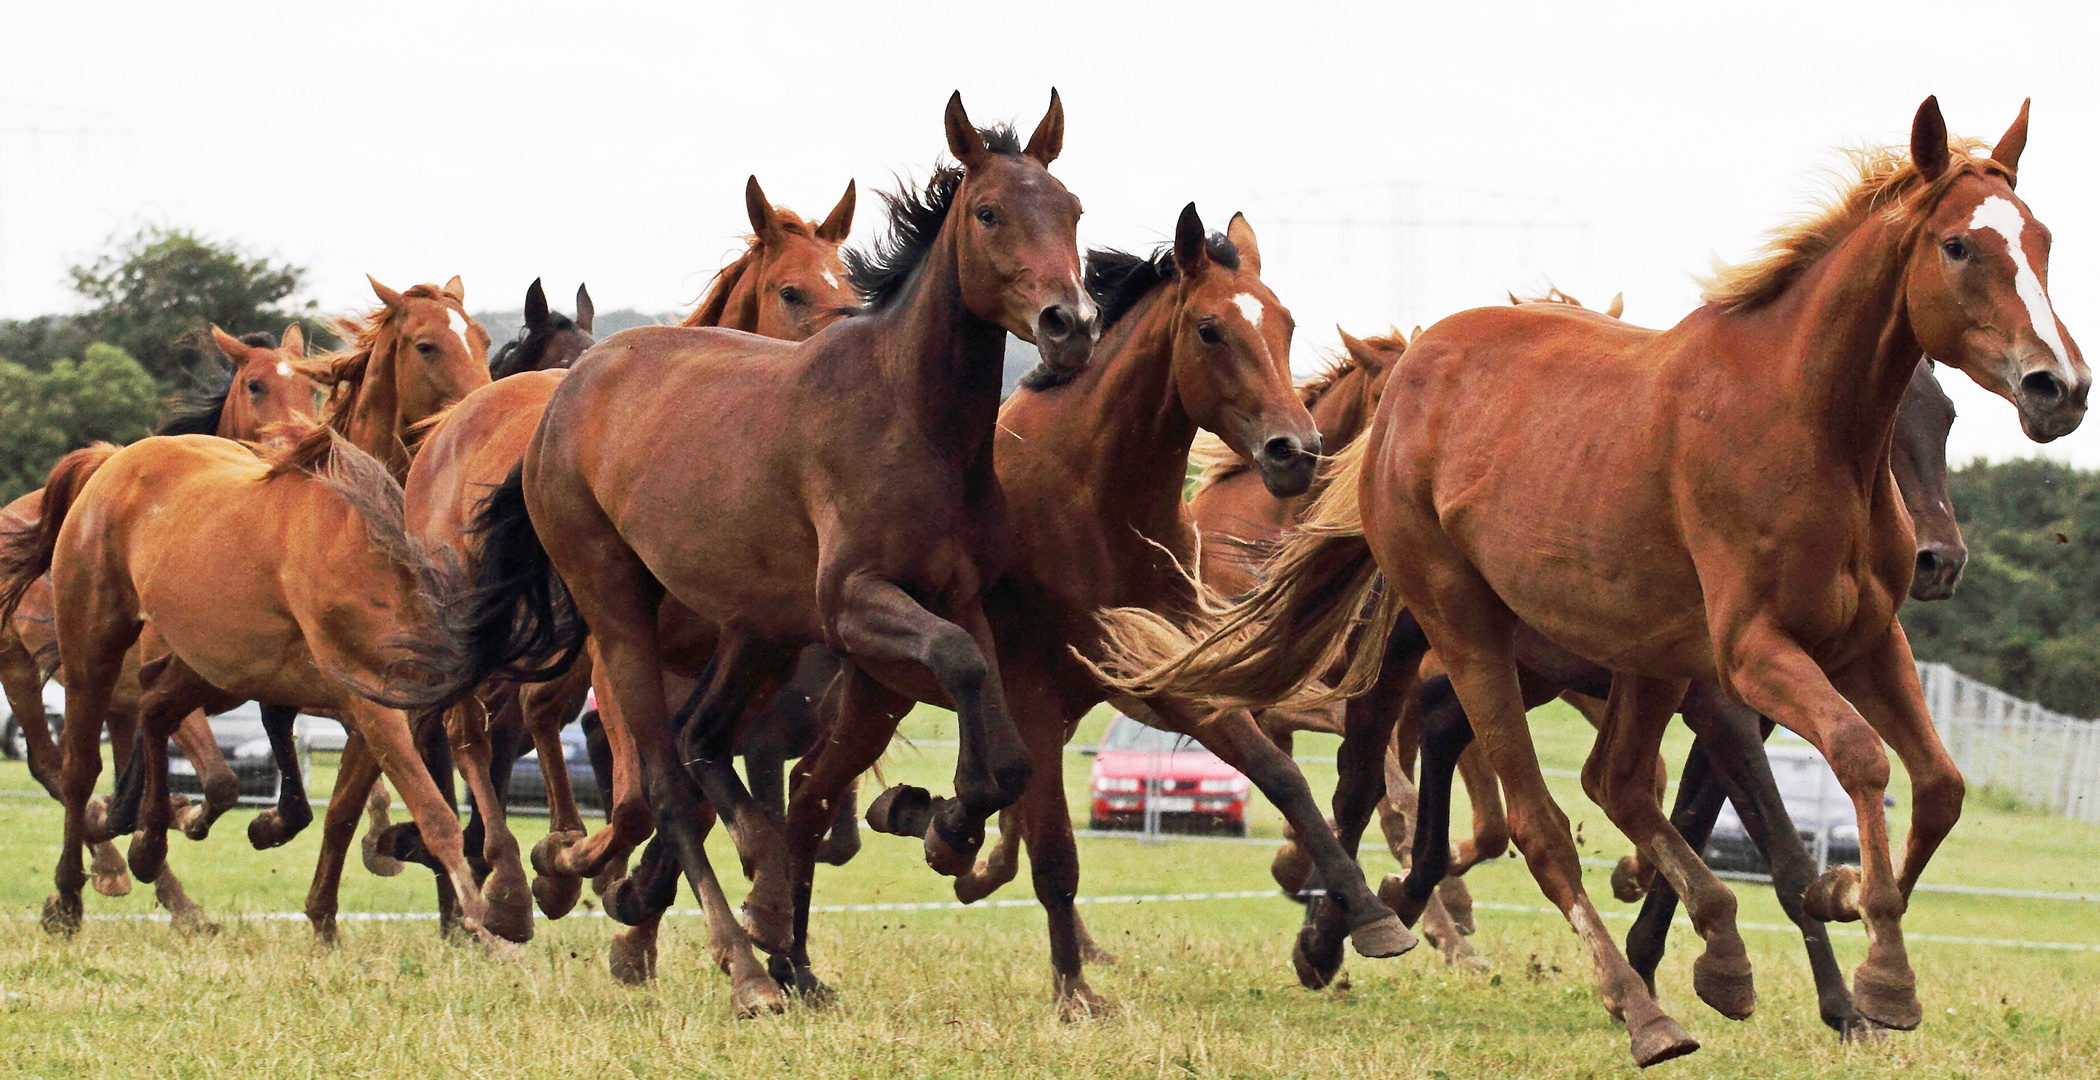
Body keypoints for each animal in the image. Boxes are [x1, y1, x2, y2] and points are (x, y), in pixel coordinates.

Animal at [0, 325, 319, 924]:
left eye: (313, 387)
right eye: (255, 384)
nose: (294, 441)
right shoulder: (173, 686)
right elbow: (218, 780)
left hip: (108, 695)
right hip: (28, 671)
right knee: (55, 765)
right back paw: (103, 869)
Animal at [457, 92, 1100, 1008]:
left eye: (1072, 209)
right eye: (988, 212)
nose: (1070, 324)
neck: (912, 418)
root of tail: (566, 395)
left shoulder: (954, 595)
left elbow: (1000, 739)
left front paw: (945, 823)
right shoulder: (855, 602)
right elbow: (958, 664)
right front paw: (937, 823)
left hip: (754, 630)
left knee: (699, 742)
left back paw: (738, 906)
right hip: (617, 614)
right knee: (663, 781)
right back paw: (742, 963)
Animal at [1100, 98, 2083, 1058]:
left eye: (2040, 239)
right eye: (1959, 246)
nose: (2059, 388)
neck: (1803, 423)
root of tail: (1411, 382)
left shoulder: (1864, 644)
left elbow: (1938, 787)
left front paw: (1849, 922)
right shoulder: (1752, 655)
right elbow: (1855, 761)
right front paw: (1877, 971)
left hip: (1641, 655)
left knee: (1605, 780)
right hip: (1467, 630)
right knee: (1523, 821)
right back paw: (1629, 1006)